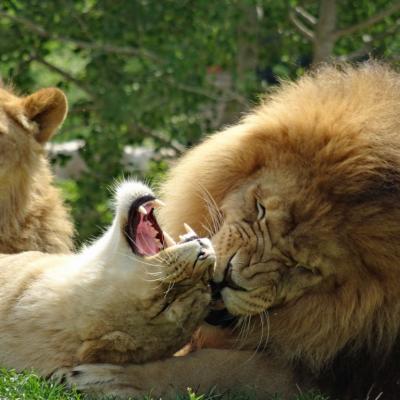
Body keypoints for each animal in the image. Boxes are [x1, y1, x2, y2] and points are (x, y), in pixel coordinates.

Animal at [60, 62, 400, 400]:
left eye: (304, 267)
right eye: (261, 209)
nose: (228, 278)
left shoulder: (326, 378)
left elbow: (213, 368)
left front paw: (116, 378)